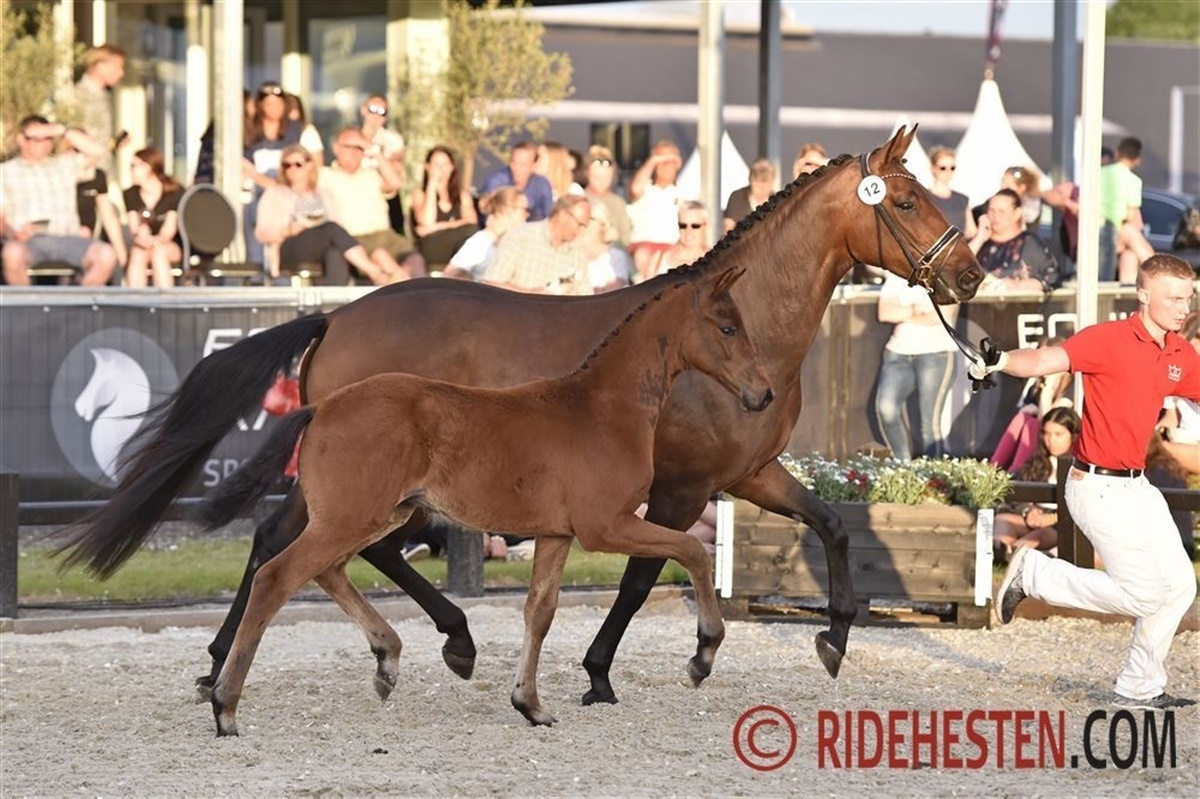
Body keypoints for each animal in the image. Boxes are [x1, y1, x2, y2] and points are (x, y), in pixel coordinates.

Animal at [196, 264, 772, 735]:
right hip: (356, 516)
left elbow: (540, 611)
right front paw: (703, 654)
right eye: (727, 327)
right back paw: (225, 704)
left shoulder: (557, 533)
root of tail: (319, 409)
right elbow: (693, 551)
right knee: (278, 576)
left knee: (326, 570)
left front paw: (530, 704)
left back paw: (388, 659)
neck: (602, 408)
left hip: (377, 515)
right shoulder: (606, 525)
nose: (762, 394)